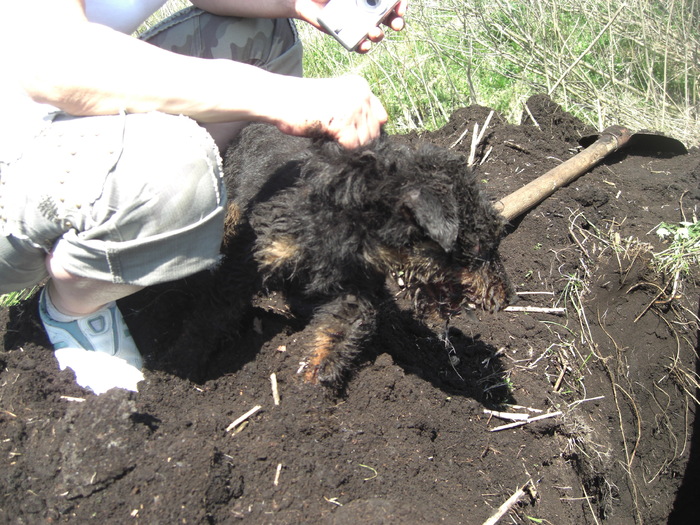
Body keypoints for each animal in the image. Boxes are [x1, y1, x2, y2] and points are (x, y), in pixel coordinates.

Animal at [219, 122, 516, 384]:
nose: (508, 298)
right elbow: (225, 300)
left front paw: (313, 381)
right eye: (478, 247)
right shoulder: (260, 253)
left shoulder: (355, 286)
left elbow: (338, 330)